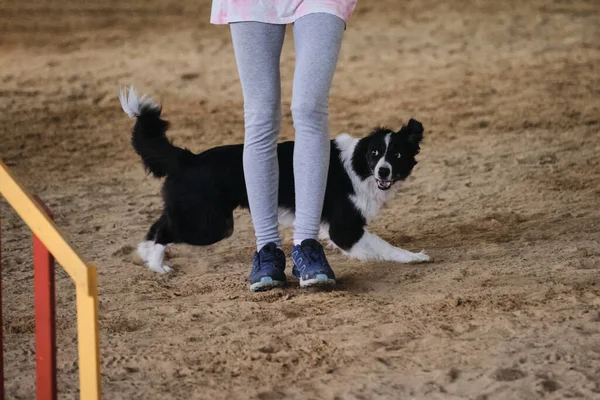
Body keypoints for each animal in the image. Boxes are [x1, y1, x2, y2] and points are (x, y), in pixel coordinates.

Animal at [118, 86, 426, 276]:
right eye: (375, 153)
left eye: (397, 154)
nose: (384, 171)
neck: (358, 165)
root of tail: (189, 158)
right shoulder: (345, 229)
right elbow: (383, 246)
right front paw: (414, 257)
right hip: (213, 224)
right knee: (165, 231)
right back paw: (157, 265)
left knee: (159, 224)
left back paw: (146, 256)